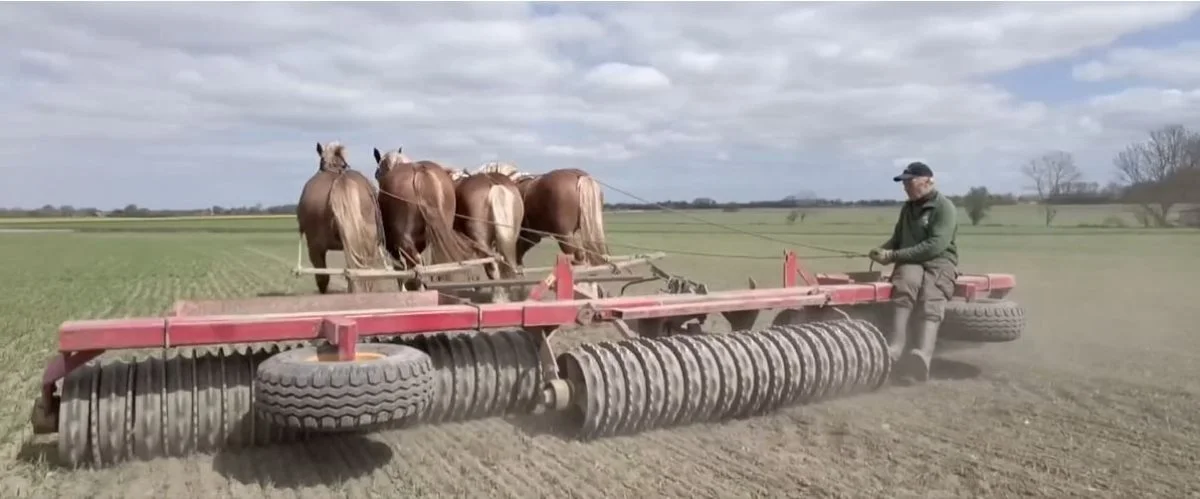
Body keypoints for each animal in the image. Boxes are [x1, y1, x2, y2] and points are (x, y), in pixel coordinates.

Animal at [372, 146, 475, 290]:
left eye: (377, 173)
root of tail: (420, 171)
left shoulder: (393, 246)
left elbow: (400, 271)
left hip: (404, 240)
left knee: (415, 264)